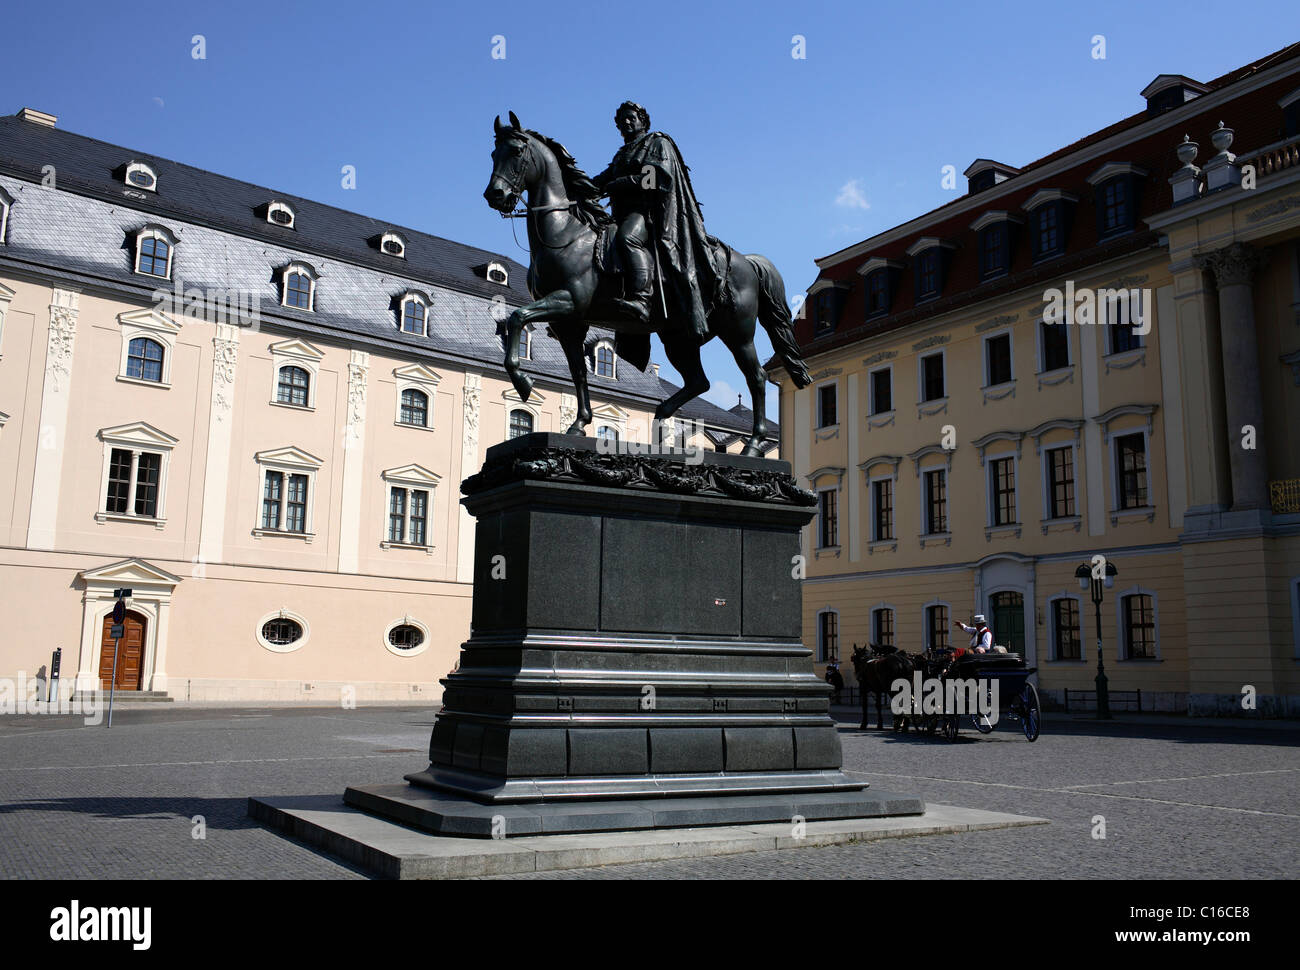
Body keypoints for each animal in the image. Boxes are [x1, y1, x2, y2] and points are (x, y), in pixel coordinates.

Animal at [483, 112, 806, 452]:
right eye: (493, 153)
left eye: (516, 151)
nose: (495, 195)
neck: (566, 232)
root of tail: (747, 261)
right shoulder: (569, 323)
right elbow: (578, 372)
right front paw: (579, 424)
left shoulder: (568, 300)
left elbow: (517, 317)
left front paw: (523, 382)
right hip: (679, 337)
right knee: (699, 381)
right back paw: (661, 422)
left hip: (737, 332)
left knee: (756, 378)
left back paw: (752, 444)